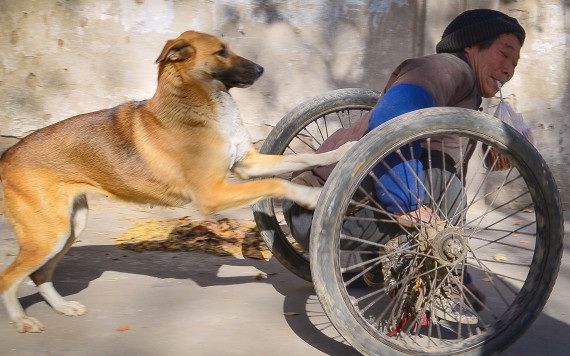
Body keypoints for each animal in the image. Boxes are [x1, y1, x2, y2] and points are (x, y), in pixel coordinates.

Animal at [0, 31, 352, 334]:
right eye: (221, 52)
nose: (261, 69)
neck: (202, 105)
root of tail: (8, 155)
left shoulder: (246, 165)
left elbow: (301, 158)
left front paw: (342, 150)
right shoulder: (213, 194)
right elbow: (275, 184)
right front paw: (310, 195)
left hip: (70, 228)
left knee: (40, 274)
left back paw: (63, 308)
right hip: (48, 235)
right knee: (8, 278)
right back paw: (21, 320)